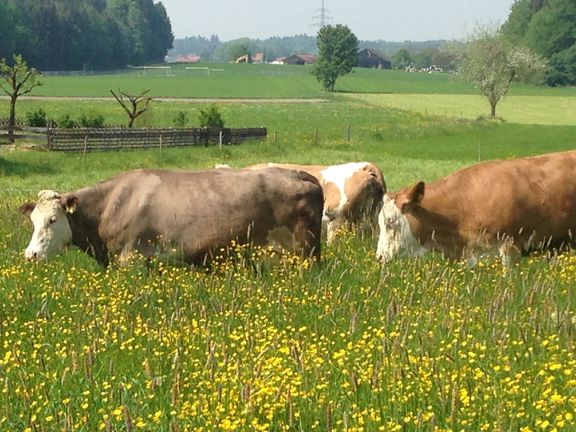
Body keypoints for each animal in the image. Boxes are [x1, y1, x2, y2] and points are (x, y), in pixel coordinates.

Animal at [20, 167, 324, 264]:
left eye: (53, 220)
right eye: (33, 220)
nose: (30, 254)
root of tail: (299, 173)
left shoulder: (131, 258)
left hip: (301, 253)